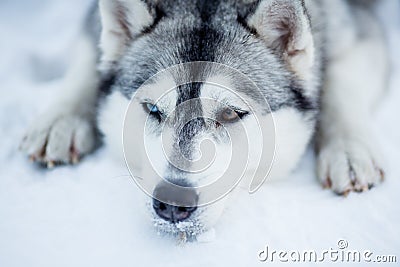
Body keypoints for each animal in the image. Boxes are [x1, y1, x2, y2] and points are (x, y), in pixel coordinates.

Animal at [19, 0, 388, 238]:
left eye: (230, 113)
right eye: (153, 110)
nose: (173, 204)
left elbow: (341, 81)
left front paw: (348, 151)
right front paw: (60, 120)